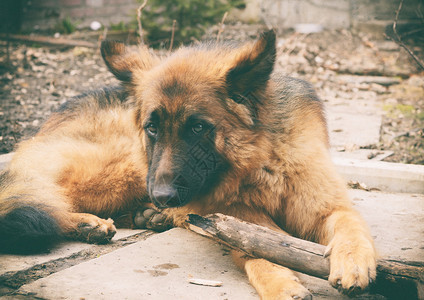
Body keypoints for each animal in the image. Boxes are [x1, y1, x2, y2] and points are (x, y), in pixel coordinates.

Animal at [0, 29, 376, 298]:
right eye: (152, 127)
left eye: (197, 127)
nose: (162, 197)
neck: (259, 164)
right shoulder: (236, 224)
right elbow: (258, 250)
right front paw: (282, 283)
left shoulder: (329, 206)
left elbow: (351, 226)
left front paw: (353, 262)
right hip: (119, 171)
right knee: (41, 198)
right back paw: (89, 222)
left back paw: (145, 216)